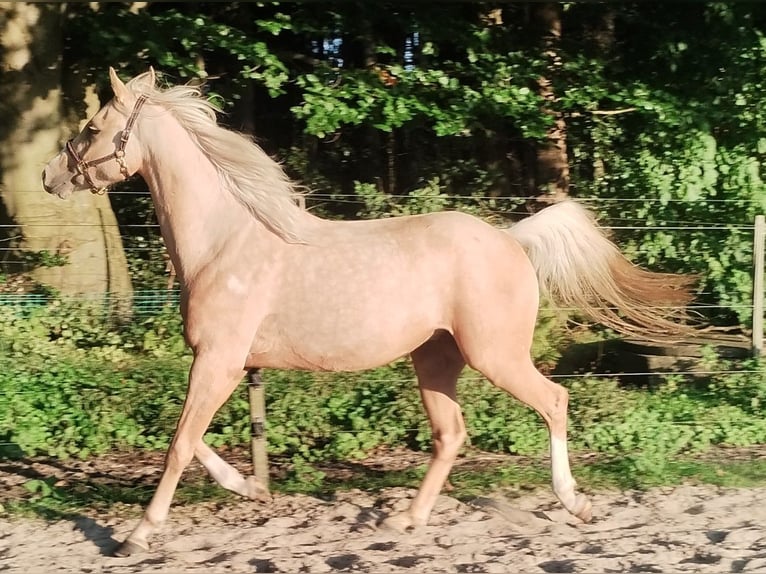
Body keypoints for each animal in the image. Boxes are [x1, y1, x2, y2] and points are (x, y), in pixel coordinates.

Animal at [42, 68, 696, 560]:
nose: (50, 176)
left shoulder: (219, 362)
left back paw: (573, 502)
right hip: (436, 360)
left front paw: (135, 536)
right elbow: (192, 439)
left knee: (554, 402)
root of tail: (512, 239)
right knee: (450, 434)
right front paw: (250, 488)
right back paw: (404, 521)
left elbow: (179, 443)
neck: (223, 242)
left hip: (495, 355)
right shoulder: (221, 364)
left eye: (93, 126)